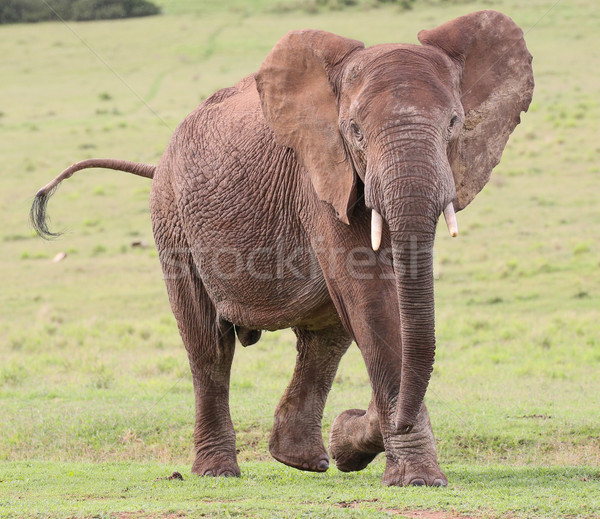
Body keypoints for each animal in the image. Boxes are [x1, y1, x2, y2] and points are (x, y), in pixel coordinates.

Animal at [31, 9, 536, 488]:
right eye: (354, 130)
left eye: (454, 123)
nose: (395, 421)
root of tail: (159, 162)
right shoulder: (320, 175)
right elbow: (371, 298)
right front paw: (417, 478)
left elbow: (375, 313)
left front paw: (355, 438)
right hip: (172, 217)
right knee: (209, 345)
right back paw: (218, 472)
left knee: (325, 337)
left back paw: (304, 459)